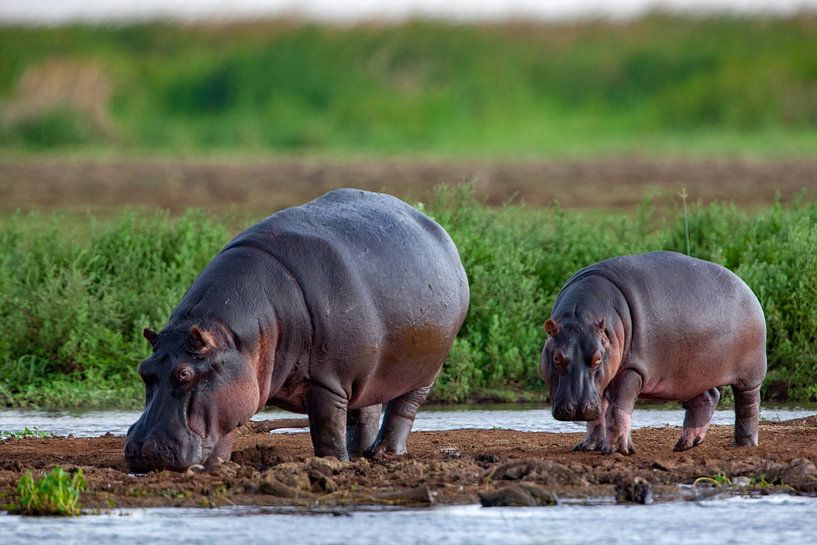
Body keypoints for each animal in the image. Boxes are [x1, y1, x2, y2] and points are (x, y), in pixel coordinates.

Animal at [125, 189, 469, 472]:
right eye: (144, 370)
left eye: (184, 375)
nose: (141, 448)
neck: (235, 337)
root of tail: (441, 233)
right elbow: (226, 428)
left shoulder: (328, 382)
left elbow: (327, 429)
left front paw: (334, 463)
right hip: (370, 369)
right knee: (365, 409)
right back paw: (359, 453)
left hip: (426, 372)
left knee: (403, 410)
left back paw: (385, 454)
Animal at [541, 251, 766, 455]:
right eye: (556, 357)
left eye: (597, 358)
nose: (577, 408)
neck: (580, 318)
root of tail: (745, 285)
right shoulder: (600, 381)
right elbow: (599, 414)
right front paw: (588, 446)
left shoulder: (632, 369)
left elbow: (617, 409)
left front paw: (617, 450)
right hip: (691, 372)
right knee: (708, 397)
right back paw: (685, 444)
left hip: (750, 375)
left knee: (748, 405)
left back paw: (744, 444)